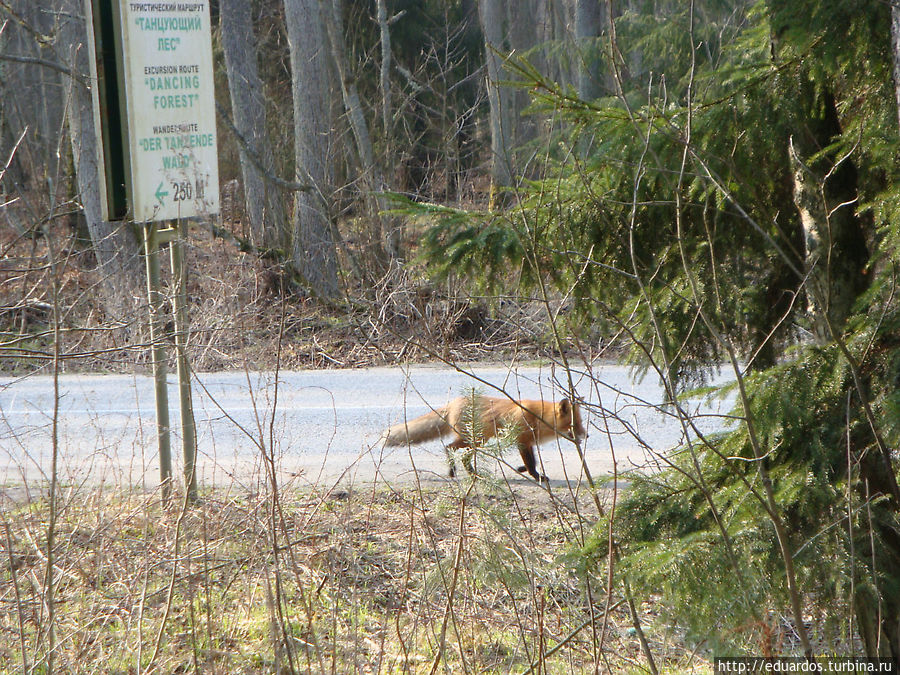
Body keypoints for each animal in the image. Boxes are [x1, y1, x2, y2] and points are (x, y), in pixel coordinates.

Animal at [382, 394, 588, 484]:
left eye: (580, 423)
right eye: (575, 425)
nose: (587, 435)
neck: (539, 418)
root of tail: (453, 402)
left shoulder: (528, 443)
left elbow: (530, 462)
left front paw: (521, 469)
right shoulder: (522, 441)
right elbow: (531, 463)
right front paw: (537, 476)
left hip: (477, 441)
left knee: (464, 456)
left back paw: (473, 474)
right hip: (472, 440)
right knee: (448, 448)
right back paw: (452, 471)